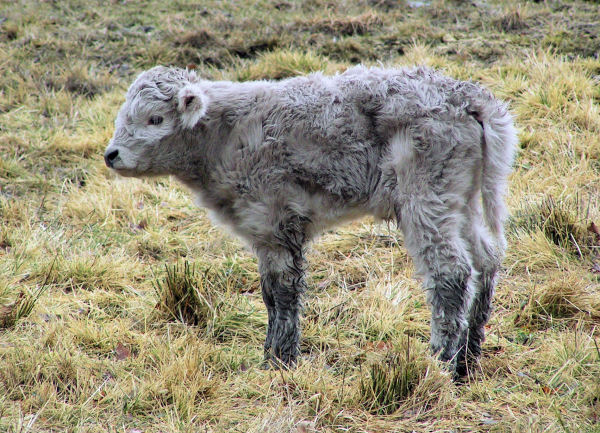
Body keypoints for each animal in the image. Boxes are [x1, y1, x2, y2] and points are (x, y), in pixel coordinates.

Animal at [103, 65, 516, 378]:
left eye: (154, 119)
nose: (111, 154)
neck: (223, 135)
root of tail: (468, 99)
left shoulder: (272, 220)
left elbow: (281, 292)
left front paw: (279, 361)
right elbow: (271, 294)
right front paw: (275, 356)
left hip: (425, 196)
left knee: (451, 272)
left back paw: (441, 362)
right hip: (461, 198)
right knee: (486, 260)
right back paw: (468, 357)